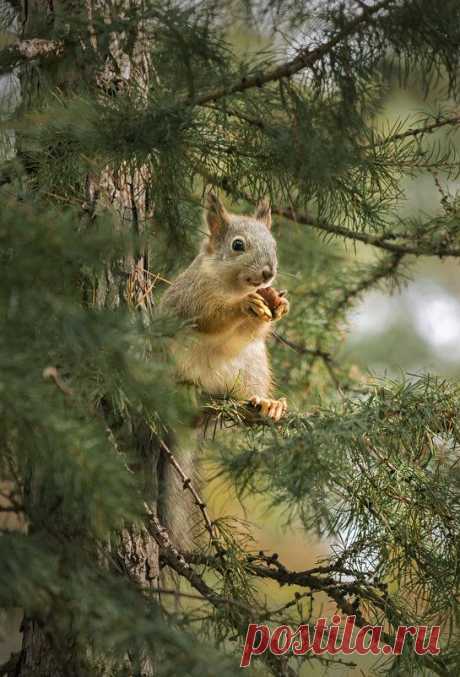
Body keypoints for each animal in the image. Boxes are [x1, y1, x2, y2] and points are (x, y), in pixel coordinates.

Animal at [157, 190, 288, 544]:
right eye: (237, 245)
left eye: (274, 244)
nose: (268, 273)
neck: (232, 285)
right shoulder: (193, 299)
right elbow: (213, 318)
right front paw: (244, 305)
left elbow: (253, 331)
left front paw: (279, 303)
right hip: (172, 355)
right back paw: (186, 390)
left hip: (253, 366)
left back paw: (266, 403)